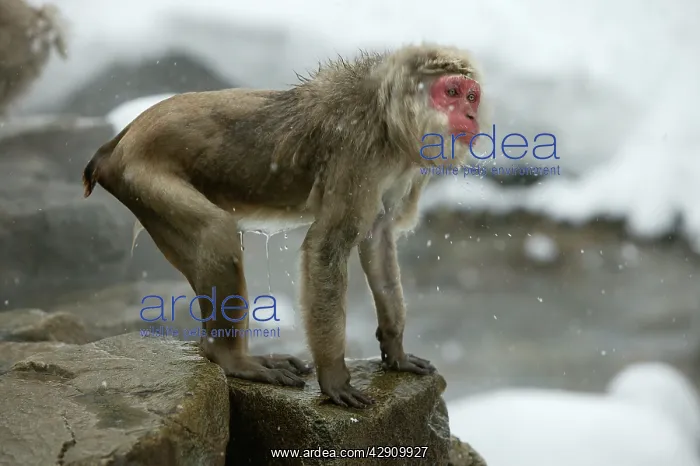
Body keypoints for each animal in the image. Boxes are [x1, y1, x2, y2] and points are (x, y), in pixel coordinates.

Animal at [81, 43, 486, 408]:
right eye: (451, 93)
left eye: (471, 96)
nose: (471, 116)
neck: (390, 121)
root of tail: (118, 141)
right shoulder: (357, 153)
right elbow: (326, 247)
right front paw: (334, 378)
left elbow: (378, 238)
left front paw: (396, 351)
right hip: (143, 175)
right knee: (216, 232)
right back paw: (231, 358)